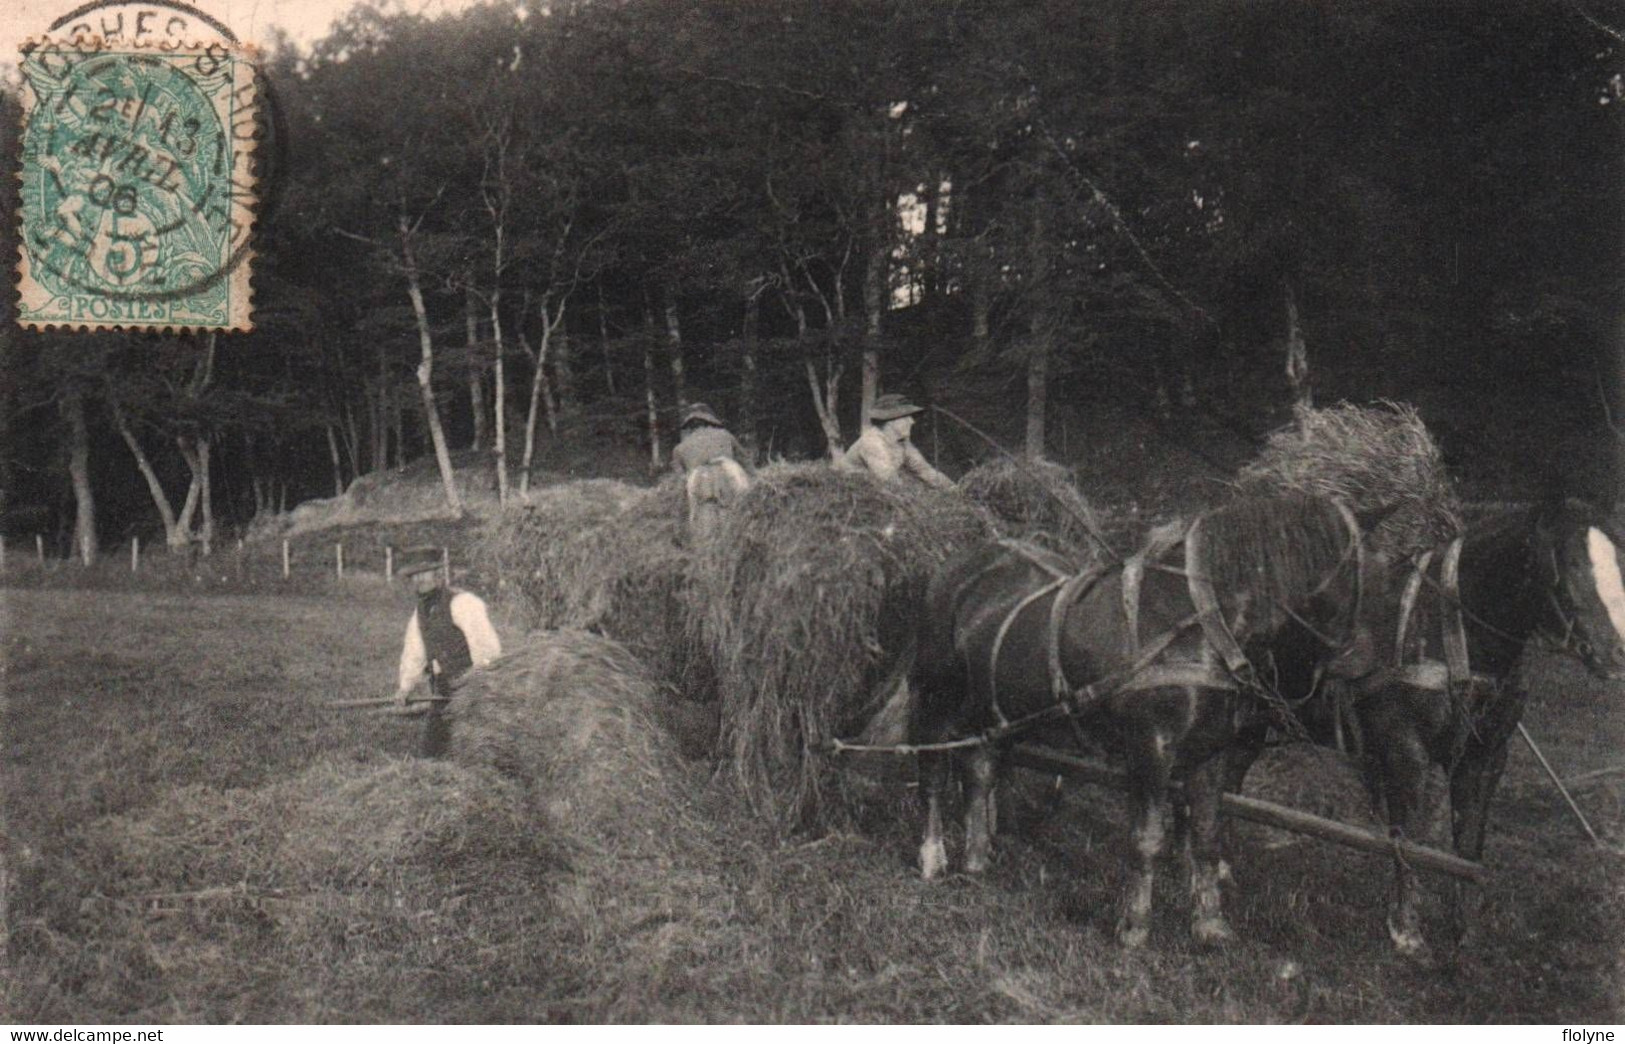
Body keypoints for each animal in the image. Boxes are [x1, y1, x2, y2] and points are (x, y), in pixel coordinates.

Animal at [910, 487, 1378, 943]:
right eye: (1358, 577)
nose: (1364, 670)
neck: (1197, 626)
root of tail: (962, 563)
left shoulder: (1212, 751)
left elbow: (1207, 834)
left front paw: (1210, 923)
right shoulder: (1152, 748)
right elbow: (1147, 838)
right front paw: (1134, 925)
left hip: (996, 709)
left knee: (979, 769)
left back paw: (977, 859)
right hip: (937, 698)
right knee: (933, 770)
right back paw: (934, 856)